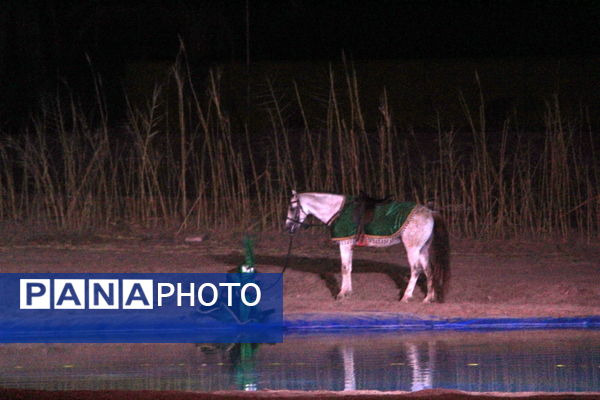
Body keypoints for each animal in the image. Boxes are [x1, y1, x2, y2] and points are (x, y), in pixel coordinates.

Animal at [286, 192, 450, 302]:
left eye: (292, 207)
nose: (288, 227)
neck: (338, 210)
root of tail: (430, 212)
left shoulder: (344, 245)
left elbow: (344, 268)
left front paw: (341, 294)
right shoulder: (349, 246)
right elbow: (349, 268)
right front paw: (348, 292)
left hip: (412, 249)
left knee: (416, 269)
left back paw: (406, 296)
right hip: (422, 249)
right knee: (429, 270)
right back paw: (428, 298)